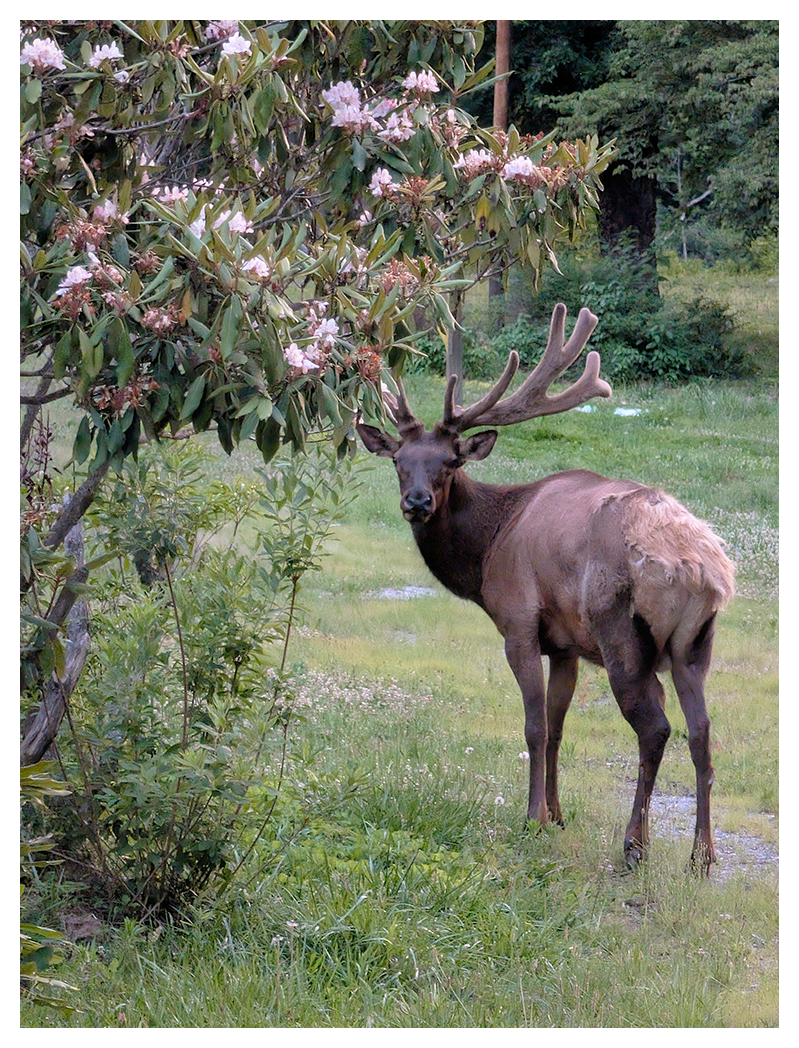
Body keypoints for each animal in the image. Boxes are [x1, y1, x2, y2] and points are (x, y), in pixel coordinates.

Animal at [357, 303, 735, 874]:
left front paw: (532, 817)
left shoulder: (519, 621)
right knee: (702, 732)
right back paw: (702, 855)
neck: (489, 548)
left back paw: (635, 845)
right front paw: (557, 814)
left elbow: (534, 725)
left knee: (656, 728)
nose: (417, 502)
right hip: (695, 644)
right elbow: (558, 726)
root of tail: (703, 568)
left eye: (450, 462)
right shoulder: (565, 645)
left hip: (620, 633)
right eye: (399, 461)